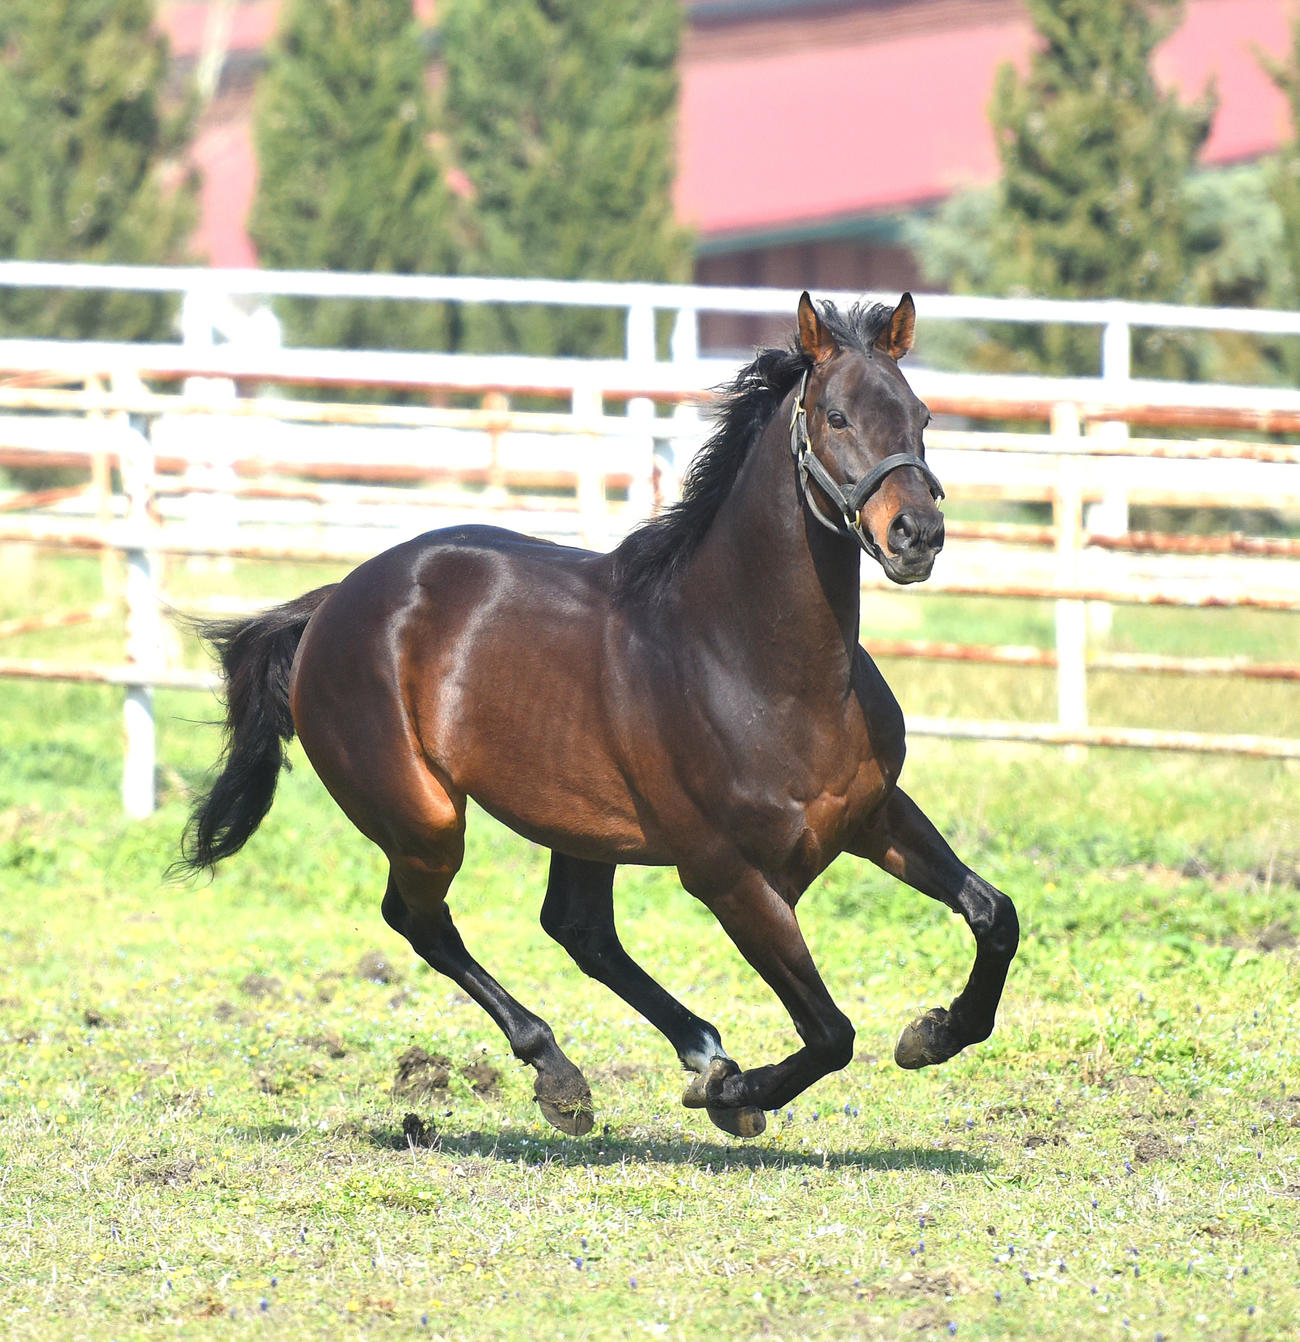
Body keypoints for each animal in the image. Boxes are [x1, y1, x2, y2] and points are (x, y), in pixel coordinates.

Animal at [177, 292, 1019, 1141]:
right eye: (836, 416)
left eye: (921, 414)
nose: (917, 535)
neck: (759, 666)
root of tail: (330, 604)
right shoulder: (727, 875)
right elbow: (829, 1032)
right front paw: (734, 1097)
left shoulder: (874, 814)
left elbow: (994, 914)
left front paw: (934, 1032)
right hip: (424, 818)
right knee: (421, 920)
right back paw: (564, 1075)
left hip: (578, 822)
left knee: (575, 928)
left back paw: (699, 1049)